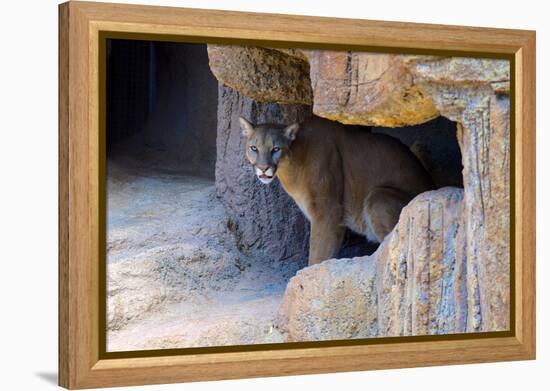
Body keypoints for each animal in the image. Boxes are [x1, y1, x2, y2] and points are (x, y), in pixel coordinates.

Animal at [242, 115, 436, 264]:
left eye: (275, 149)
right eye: (254, 148)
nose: (263, 168)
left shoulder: (327, 211)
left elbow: (317, 255)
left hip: (378, 195)